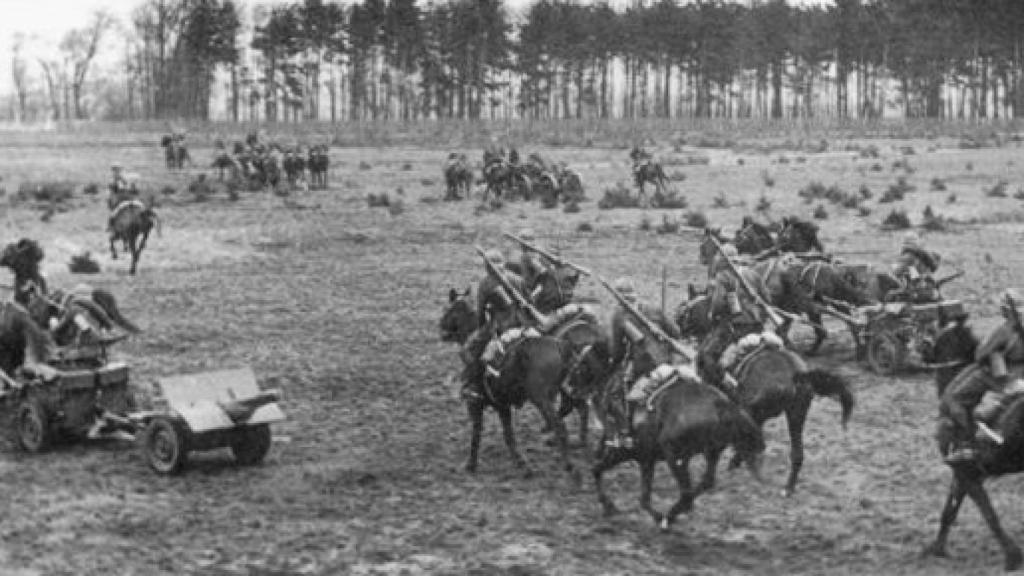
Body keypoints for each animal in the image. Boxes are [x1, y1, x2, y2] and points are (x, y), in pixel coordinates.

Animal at [589, 368, 765, 528]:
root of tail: (721, 405)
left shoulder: (628, 453)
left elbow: (597, 469)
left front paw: (609, 506)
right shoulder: (645, 459)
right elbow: (642, 496)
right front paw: (609, 507)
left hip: (673, 456)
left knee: (687, 492)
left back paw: (669, 517)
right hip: (709, 452)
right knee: (704, 483)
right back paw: (675, 513)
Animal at [921, 317, 1024, 569]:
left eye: (937, 333)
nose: (921, 348)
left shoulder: (966, 473)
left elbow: (989, 515)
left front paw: (1013, 556)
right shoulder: (962, 473)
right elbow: (950, 511)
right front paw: (937, 549)